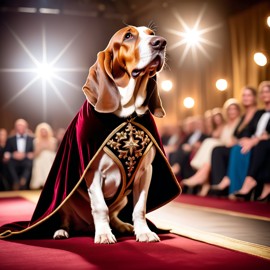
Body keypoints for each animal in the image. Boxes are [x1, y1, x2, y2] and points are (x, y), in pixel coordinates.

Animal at [51, 25, 168, 245]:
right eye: (128, 36)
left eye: (151, 33)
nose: (161, 42)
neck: (127, 115)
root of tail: (84, 227)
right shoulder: (92, 172)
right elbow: (100, 208)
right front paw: (104, 234)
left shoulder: (145, 172)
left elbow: (139, 208)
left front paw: (143, 232)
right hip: (65, 198)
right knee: (64, 216)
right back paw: (62, 231)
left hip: (123, 197)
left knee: (114, 214)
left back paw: (122, 226)